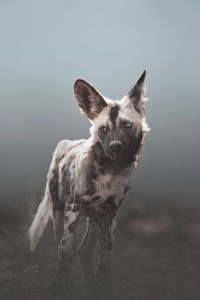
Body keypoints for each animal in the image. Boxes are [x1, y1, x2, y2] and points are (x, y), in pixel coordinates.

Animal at [28, 72, 150, 292]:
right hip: (58, 212)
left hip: (96, 219)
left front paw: (105, 288)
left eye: (127, 125)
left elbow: (106, 258)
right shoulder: (73, 207)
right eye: (103, 129)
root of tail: (66, 143)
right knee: (65, 247)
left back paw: (94, 286)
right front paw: (60, 287)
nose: (115, 146)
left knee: (85, 252)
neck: (109, 172)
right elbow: (66, 251)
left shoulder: (110, 214)